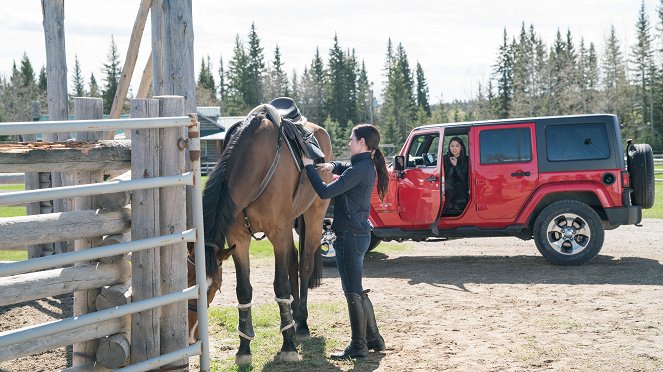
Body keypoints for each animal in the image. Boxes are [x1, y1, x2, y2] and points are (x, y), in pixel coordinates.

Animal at [185, 104, 332, 364]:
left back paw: (302, 323)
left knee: (304, 264)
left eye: (213, 288)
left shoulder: (278, 234)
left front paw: (288, 346)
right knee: (293, 259)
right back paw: (294, 319)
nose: (192, 336)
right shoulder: (238, 240)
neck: (257, 163)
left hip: (313, 216)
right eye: (188, 280)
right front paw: (244, 349)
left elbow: (281, 285)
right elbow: (244, 291)